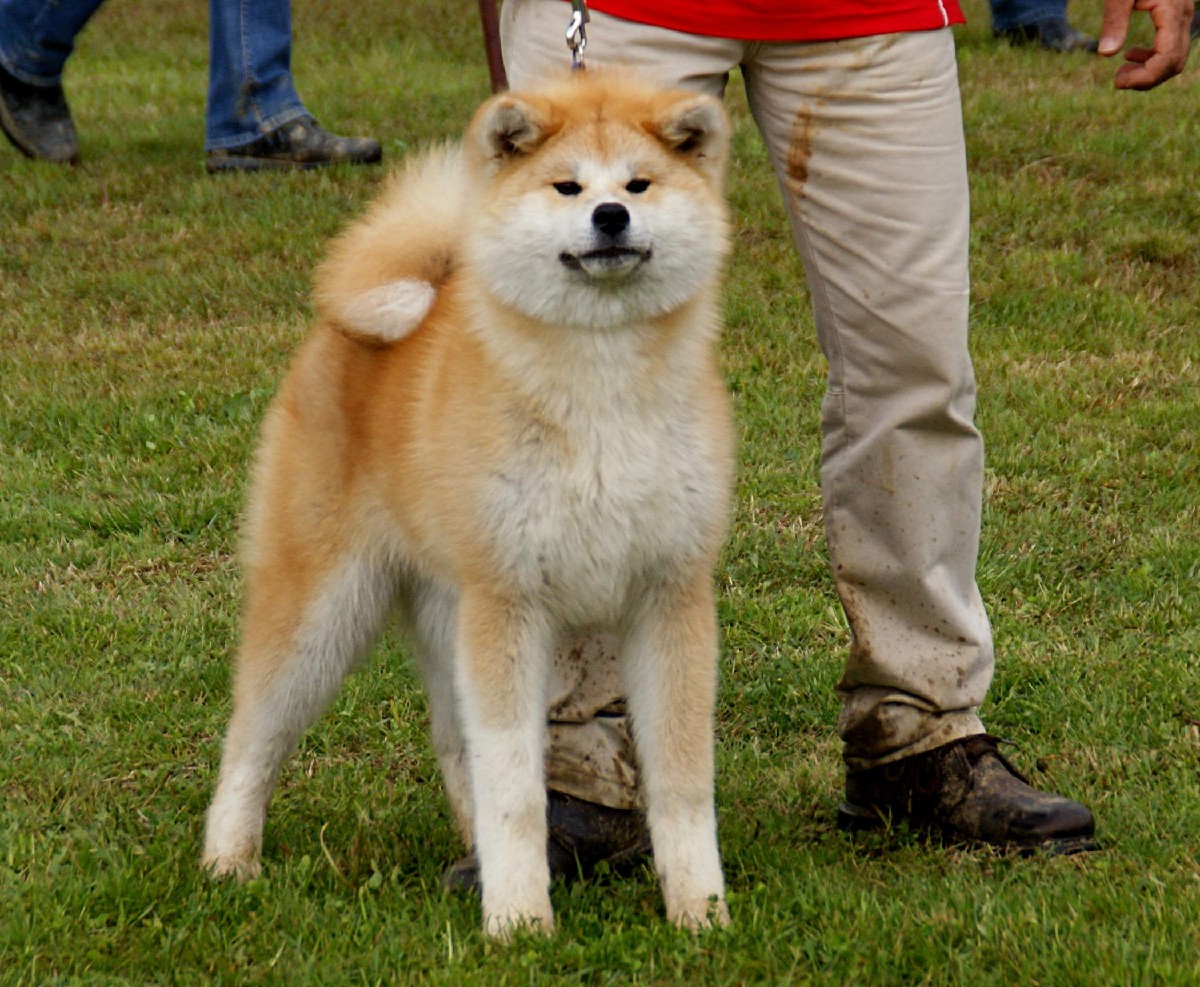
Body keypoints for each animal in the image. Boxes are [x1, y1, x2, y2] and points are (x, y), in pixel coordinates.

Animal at [201, 72, 735, 939]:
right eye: (567, 186)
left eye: (639, 184)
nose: (610, 217)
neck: (600, 384)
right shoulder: (510, 602)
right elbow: (514, 783)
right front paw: (520, 922)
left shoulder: (670, 596)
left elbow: (682, 783)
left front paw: (701, 911)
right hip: (325, 610)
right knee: (255, 734)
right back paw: (228, 859)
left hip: (448, 615)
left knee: (455, 745)